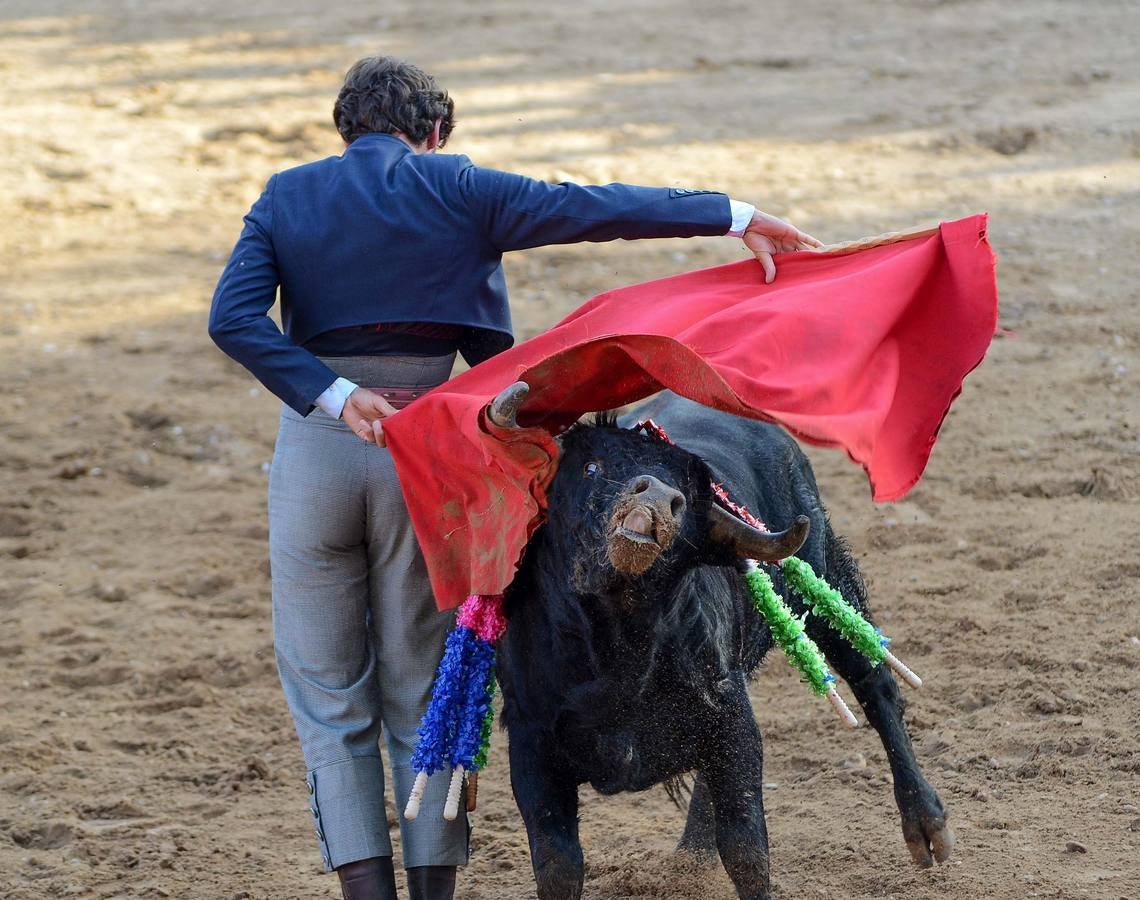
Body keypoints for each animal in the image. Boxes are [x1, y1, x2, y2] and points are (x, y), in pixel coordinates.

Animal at [499, 394, 953, 898]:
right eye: (592, 467)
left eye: (684, 489)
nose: (656, 497)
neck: (619, 646)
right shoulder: (531, 746)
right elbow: (558, 865)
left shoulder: (732, 723)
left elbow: (746, 849)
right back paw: (692, 857)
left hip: (825, 582)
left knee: (876, 686)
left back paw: (926, 824)